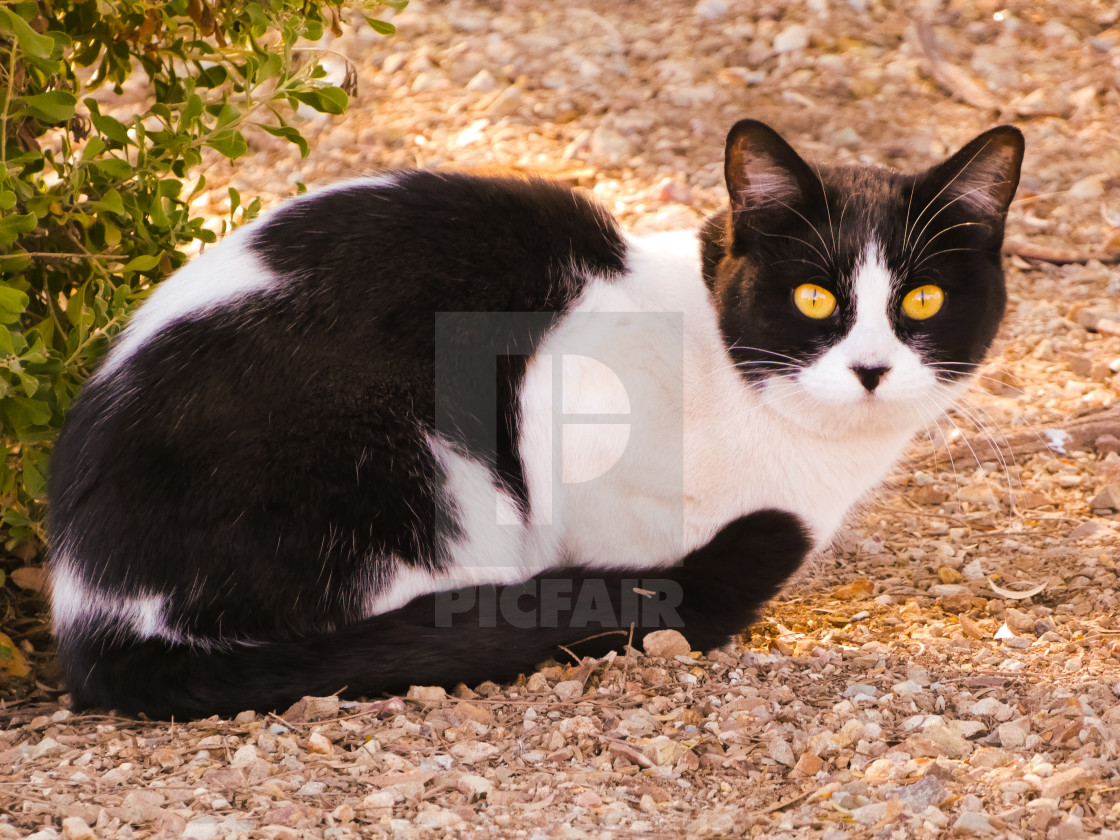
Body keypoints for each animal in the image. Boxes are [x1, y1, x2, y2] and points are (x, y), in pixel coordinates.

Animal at [45, 121, 1025, 721]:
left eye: (923, 300)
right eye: (815, 298)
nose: (870, 369)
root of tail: (90, 610)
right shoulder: (563, 382)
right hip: (421, 472)